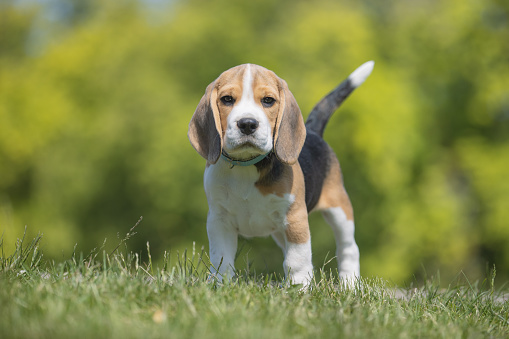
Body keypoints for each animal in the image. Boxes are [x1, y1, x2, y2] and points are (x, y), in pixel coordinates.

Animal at [188, 61, 374, 286]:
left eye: (268, 100)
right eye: (227, 99)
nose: (247, 124)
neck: (247, 165)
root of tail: (313, 132)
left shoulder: (295, 218)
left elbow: (297, 259)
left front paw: (299, 287)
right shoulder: (219, 219)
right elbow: (221, 258)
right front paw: (219, 284)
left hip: (339, 209)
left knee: (349, 248)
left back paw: (350, 284)